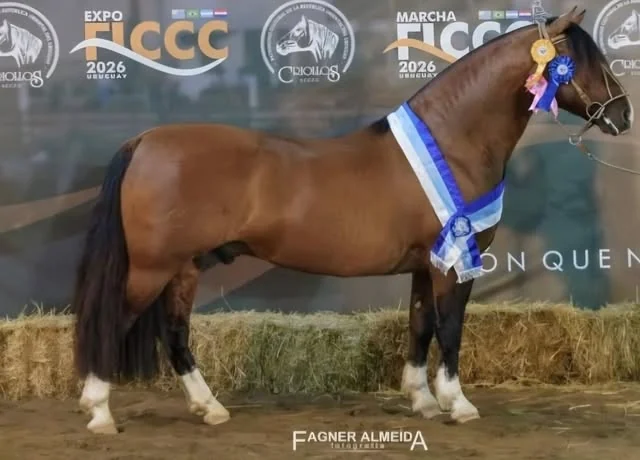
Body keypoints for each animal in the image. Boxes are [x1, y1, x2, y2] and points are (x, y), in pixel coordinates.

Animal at [72, 7, 633, 434]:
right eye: (585, 61)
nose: (622, 115)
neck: (451, 142)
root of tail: (145, 140)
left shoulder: (425, 265)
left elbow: (420, 327)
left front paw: (422, 401)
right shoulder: (452, 265)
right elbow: (450, 330)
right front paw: (459, 404)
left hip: (184, 267)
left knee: (175, 334)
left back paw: (209, 408)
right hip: (151, 268)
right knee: (115, 323)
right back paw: (99, 413)